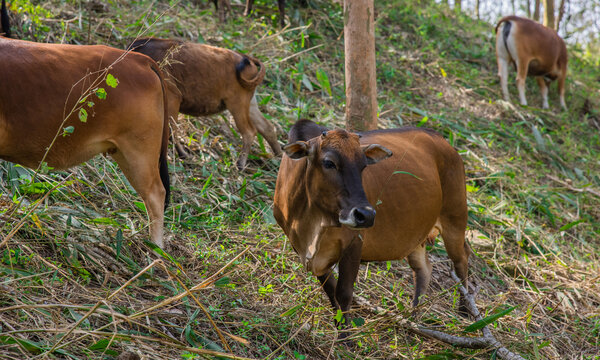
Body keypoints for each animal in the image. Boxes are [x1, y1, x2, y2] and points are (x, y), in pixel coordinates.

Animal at [131, 38, 282, 170]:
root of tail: (246, 58)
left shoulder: (173, 98)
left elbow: (171, 131)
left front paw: (184, 155)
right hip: (249, 104)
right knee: (268, 127)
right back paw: (280, 157)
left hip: (237, 104)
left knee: (249, 131)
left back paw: (240, 164)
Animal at [274, 119, 472, 332]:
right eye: (329, 163)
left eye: (363, 166)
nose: (366, 215)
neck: (314, 222)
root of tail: (444, 143)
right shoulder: (299, 246)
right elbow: (330, 288)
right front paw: (339, 324)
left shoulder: (355, 243)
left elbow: (344, 293)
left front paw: (345, 334)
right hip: (417, 236)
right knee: (423, 268)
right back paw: (413, 317)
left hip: (455, 218)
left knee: (461, 259)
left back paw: (465, 311)